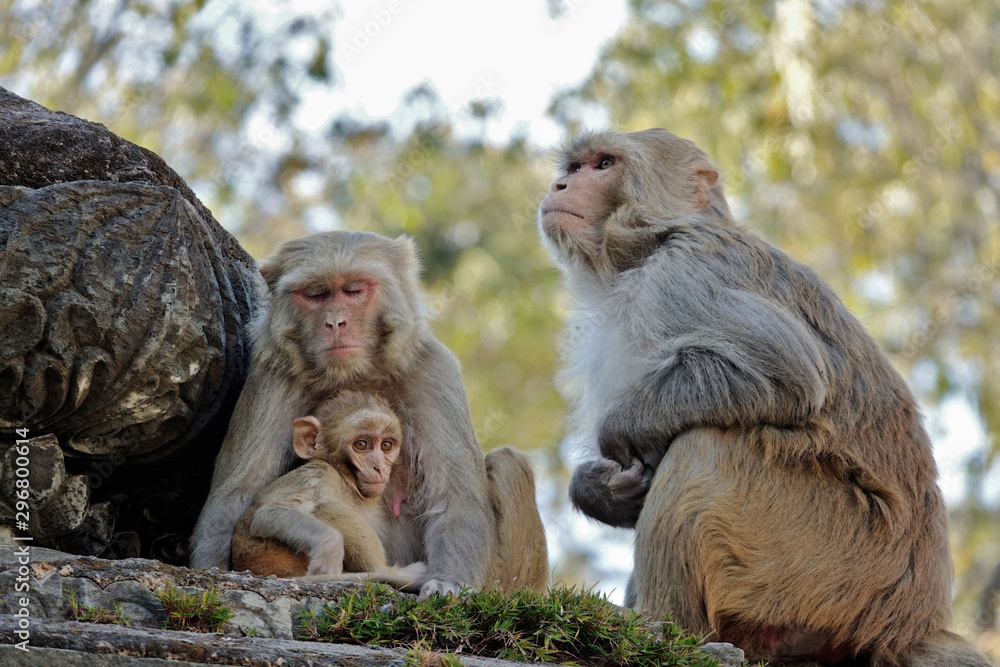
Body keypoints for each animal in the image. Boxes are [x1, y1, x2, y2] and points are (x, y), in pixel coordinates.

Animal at [230, 391, 426, 590]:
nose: (378, 467)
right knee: (328, 507)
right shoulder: (319, 474)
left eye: (386, 445)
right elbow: (270, 513)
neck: (346, 482)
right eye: (361, 445)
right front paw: (329, 550)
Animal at [538, 128, 990, 666]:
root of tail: (911, 626)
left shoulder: (685, 272)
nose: (561, 185)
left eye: (604, 164)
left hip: (830, 558)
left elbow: (785, 371)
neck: (640, 251)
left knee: (708, 446)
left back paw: (663, 630)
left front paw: (618, 433)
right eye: (575, 166)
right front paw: (600, 489)